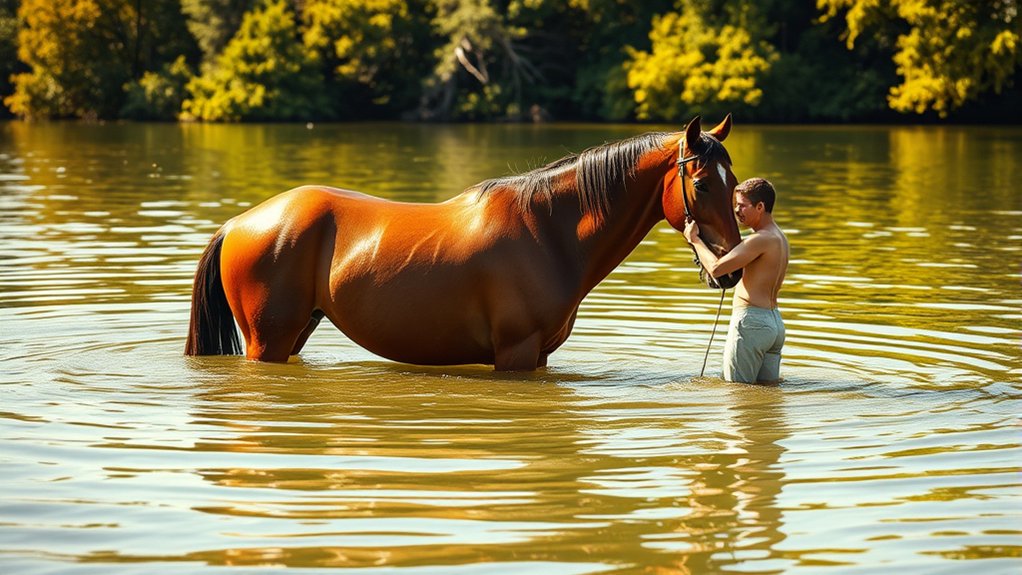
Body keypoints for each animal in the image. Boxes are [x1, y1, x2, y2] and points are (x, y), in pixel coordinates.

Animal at [185, 115, 742, 371]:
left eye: (734, 182)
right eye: (701, 184)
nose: (732, 269)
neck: (549, 232)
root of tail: (238, 223)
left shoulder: (539, 356)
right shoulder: (516, 354)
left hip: (297, 331)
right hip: (267, 341)